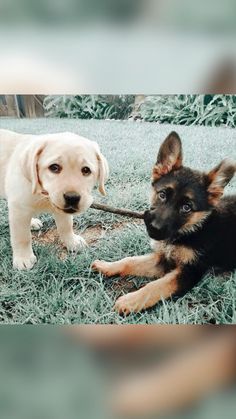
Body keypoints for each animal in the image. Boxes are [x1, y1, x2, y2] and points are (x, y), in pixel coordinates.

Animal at [0, 130, 109, 270]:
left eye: (86, 170)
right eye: (54, 167)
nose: (72, 198)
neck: (44, 194)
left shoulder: (61, 210)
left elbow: (66, 226)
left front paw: (72, 241)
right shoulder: (18, 208)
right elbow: (22, 237)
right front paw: (23, 258)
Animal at [92, 132, 236, 316]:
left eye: (186, 207)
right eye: (162, 195)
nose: (154, 228)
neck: (194, 229)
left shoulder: (190, 272)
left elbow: (156, 286)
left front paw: (130, 300)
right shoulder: (164, 259)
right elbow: (130, 261)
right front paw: (108, 266)